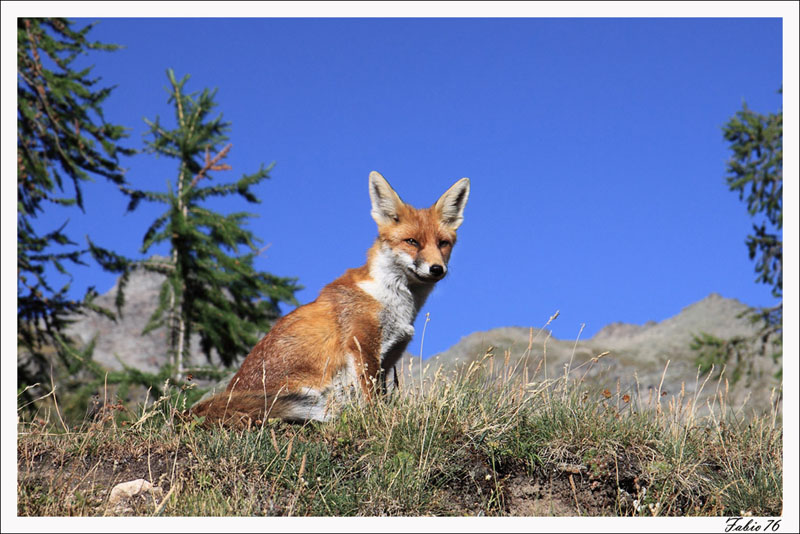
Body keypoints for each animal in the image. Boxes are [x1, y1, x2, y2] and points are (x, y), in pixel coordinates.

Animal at [189, 172, 468, 428]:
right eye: (412, 242)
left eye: (443, 244)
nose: (437, 269)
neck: (393, 301)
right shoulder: (362, 346)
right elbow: (371, 398)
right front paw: (377, 421)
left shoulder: (388, 357)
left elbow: (380, 393)